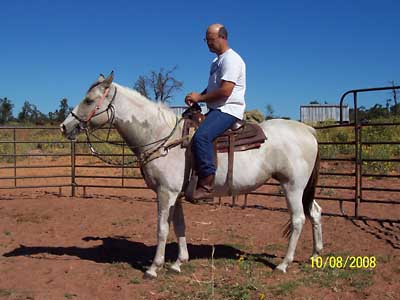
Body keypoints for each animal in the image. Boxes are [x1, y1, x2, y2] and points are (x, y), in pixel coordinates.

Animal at [60, 72, 322, 278]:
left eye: (88, 100)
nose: (64, 126)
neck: (163, 137)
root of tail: (308, 130)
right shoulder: (175, 194)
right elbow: (179, 225)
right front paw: (178, 262)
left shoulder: (166, 193)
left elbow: (162, 229)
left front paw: (153, 268)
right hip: (301, 188)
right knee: (315, 212)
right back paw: (315, 255)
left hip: (292, 186)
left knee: (298, 219)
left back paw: (284, 264)